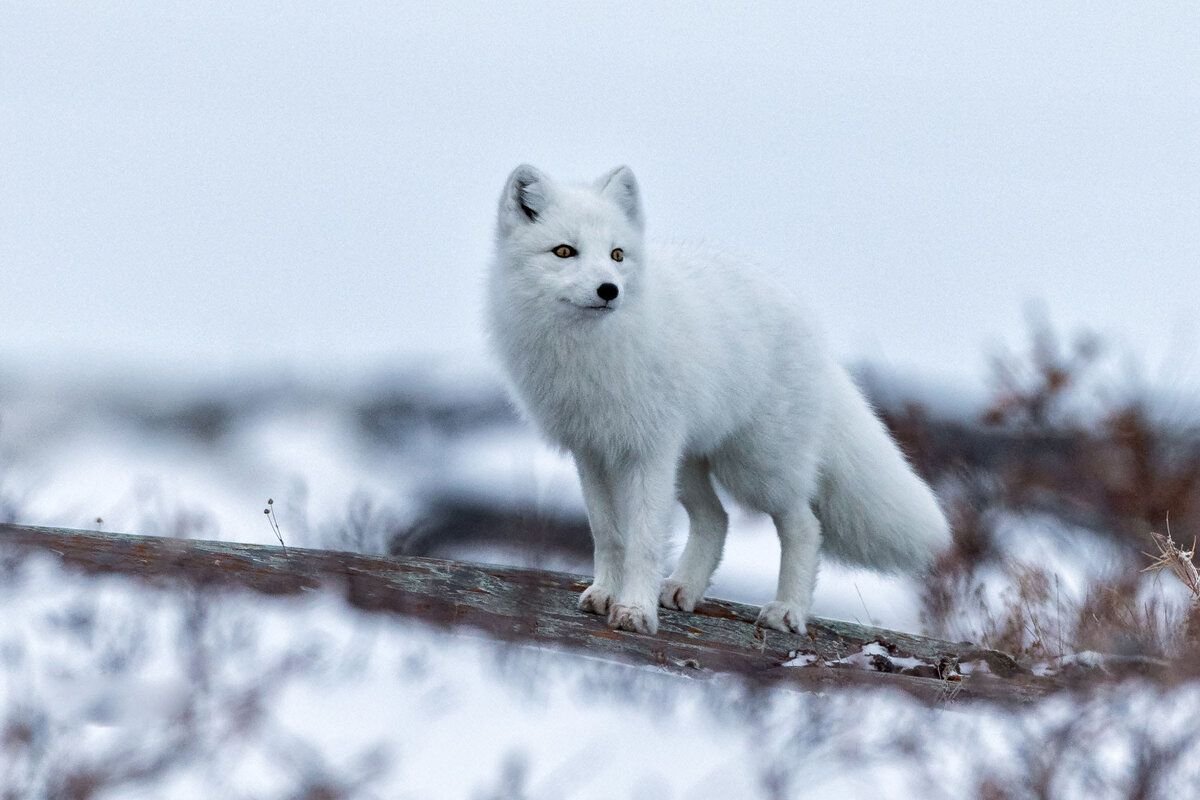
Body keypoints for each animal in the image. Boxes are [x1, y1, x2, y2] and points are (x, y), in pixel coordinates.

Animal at [484, 164, 945, 638]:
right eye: (564, 251)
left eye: (616, 255)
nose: (609, 290)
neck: (589, 351)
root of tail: (808, 323)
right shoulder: (591, 452)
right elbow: (608, 534)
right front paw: (605, 595)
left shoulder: (649, 450)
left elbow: (644, 541)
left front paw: (635, 612)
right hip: (691, 463)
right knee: (716, 518)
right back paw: (683, 588)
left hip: (755, 467)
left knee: (804, 525)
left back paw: (787, 611)